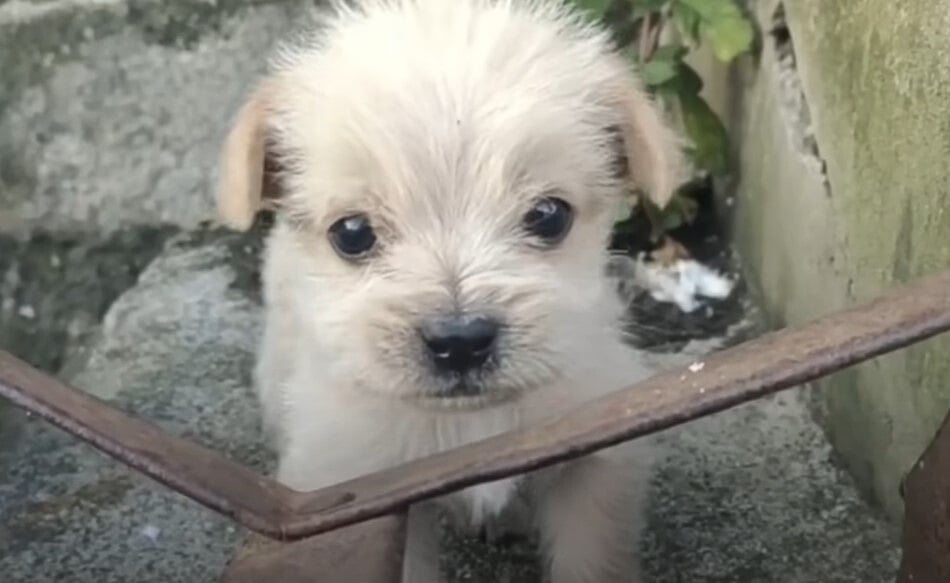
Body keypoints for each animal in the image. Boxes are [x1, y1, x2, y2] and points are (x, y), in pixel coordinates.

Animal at [219, 2, 688, 580]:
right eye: (351, 233)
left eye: (549, 216)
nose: (460, 342)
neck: (472, 423)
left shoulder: (595, 466)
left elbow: (591, 561)